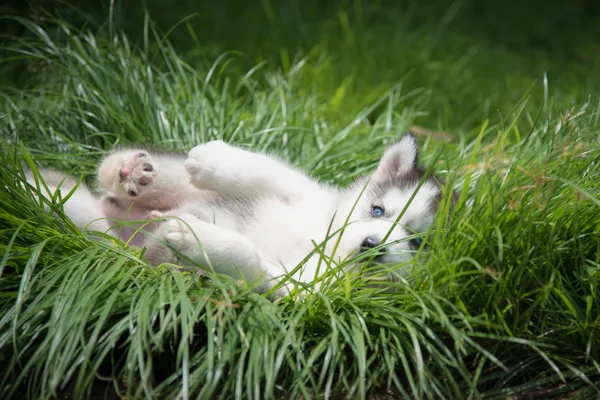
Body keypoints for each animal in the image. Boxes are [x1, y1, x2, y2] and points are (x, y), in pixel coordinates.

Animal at [28, 134, 442, 294]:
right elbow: (271, 171)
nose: (372, 245)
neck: (324, 249)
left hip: (93, 230)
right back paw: (132, 172)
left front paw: (195, 240)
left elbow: (249, 260)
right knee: (114, 172)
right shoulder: (308, 195)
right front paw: (216, 159)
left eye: (418, 242)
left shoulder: (295, 291)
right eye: (377, 210)